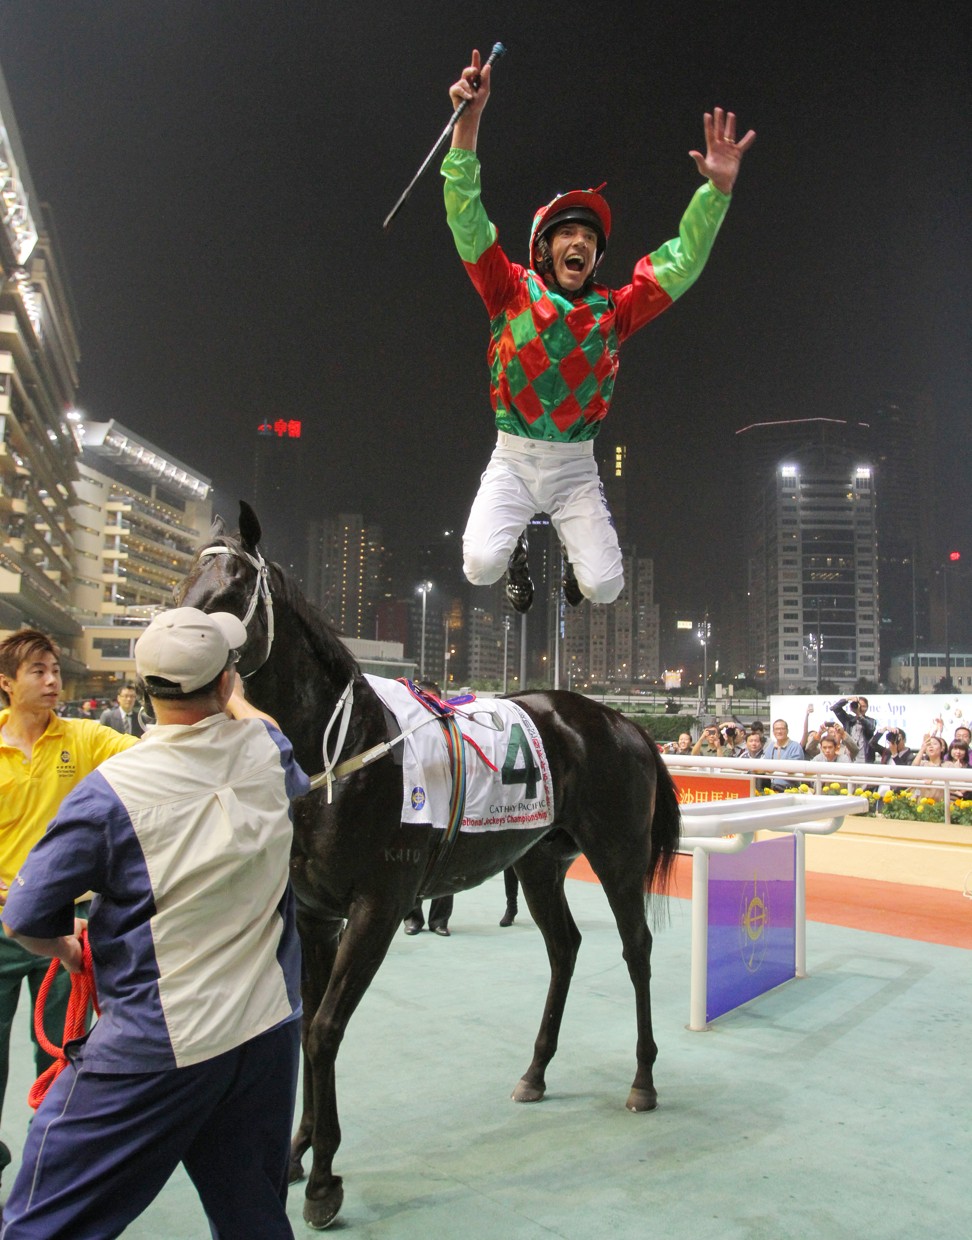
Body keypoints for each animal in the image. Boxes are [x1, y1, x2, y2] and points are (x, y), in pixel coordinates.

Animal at [179, 503, 684, 1230]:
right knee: (564, 947)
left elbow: (325, 1030)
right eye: (184, 578)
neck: (343, 752)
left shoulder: (377, 908)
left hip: (617, 855)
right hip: (539, 862)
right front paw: (298, 1151)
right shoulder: (315, 914)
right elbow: (308, 1027)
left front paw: (323, 1179)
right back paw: (535, 1072)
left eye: (232, 588)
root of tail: (625, 722)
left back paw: (643, 1080)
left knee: (636, 949)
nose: (157, 673)